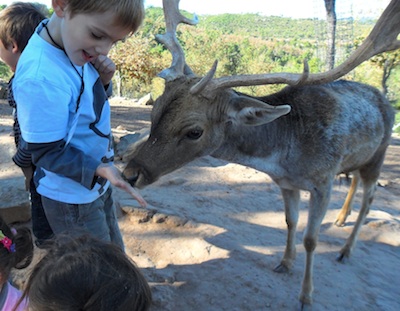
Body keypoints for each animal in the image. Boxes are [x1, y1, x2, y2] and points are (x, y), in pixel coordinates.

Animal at [123, 0, 398, 310]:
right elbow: (290, 222)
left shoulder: (323, 180)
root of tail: (385, 101)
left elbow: (311, 239)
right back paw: (339, 219)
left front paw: (306, 296)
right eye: (154, 111)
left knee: (369, 199)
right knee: (354, 180)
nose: (130, 173)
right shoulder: (287, 184)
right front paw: (285, 263)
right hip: (360, 159)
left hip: (379, 154)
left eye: (194, 131)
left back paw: (345, 250)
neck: (287, 156)